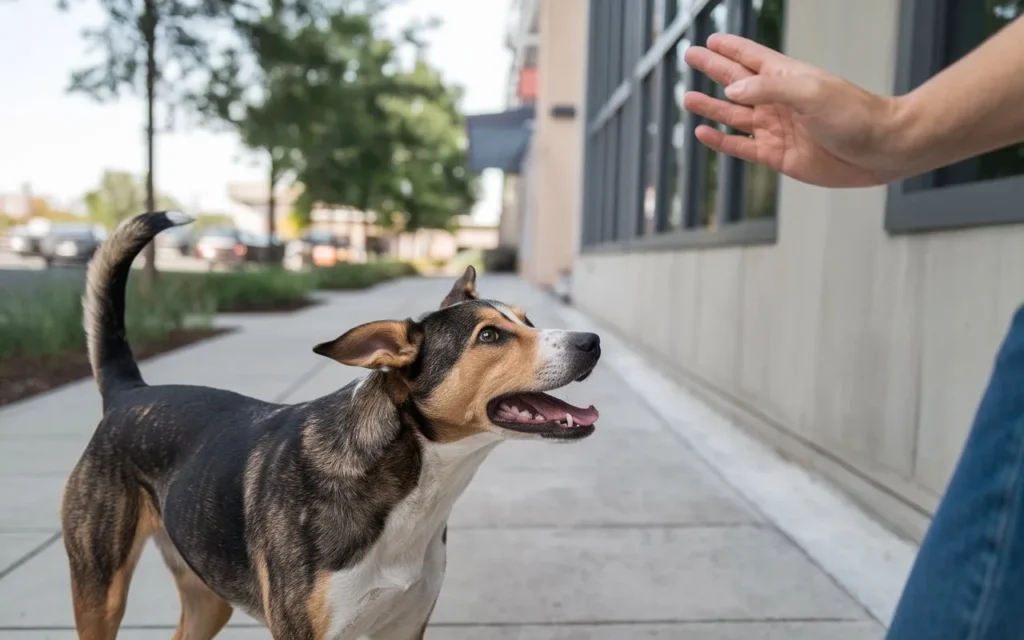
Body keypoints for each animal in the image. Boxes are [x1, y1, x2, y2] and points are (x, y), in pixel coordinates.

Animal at [59, 211, 598, 634]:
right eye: (489, 336)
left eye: (527, 322)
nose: (590, 340)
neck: (408, 483)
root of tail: (131, 392)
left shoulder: (406, 626)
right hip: (99, 590)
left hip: (206, 597)